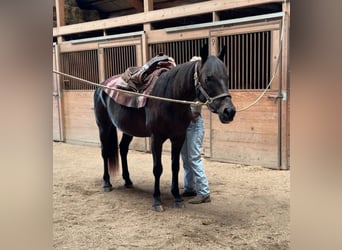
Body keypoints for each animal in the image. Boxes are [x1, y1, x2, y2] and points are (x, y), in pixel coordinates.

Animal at [95, 46, 236, 211]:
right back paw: (107, 183)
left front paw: (177, 198)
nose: (229, 111)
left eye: (227, 77)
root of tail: (101, 86)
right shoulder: (156, 139)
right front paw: (157, 200)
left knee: (123, 149)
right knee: (105, 152)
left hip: (127, 130)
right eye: (208, 78)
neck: (169, 97)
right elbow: (158, 168)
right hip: (103, 126)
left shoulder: (178, 138)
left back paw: (128, 181)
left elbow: (175, 166)